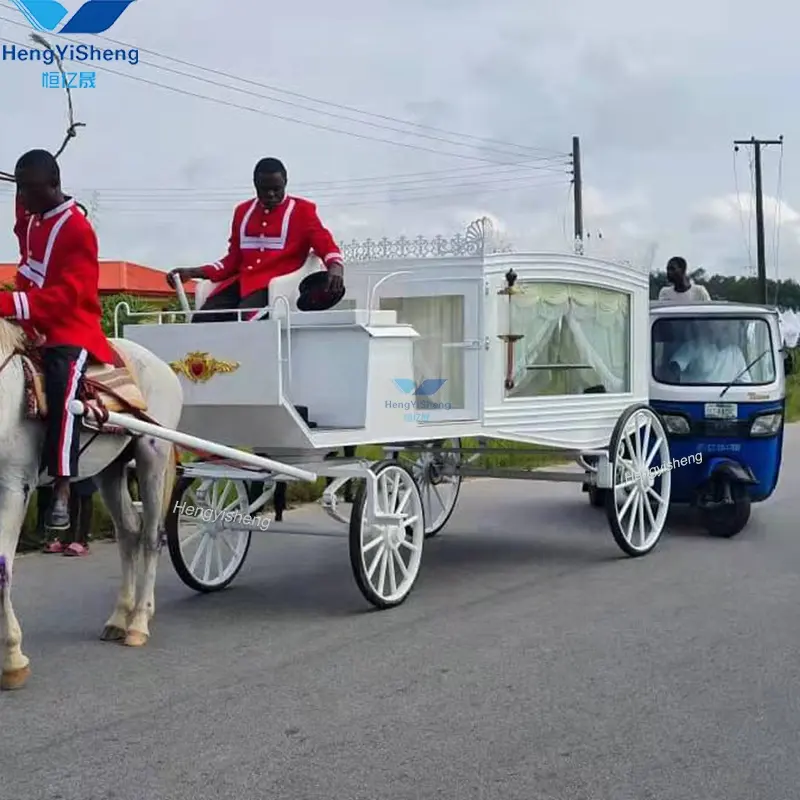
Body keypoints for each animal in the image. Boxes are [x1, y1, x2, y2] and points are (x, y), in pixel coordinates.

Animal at [0, 322, 182, 692]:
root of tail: (163, 366)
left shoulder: (13, 486)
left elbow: (2, 570)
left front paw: (12, 660)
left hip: (153, 455)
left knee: (151, 537)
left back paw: (139, 622)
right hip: (110, 469)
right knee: (129, 531)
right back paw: (121, 617)